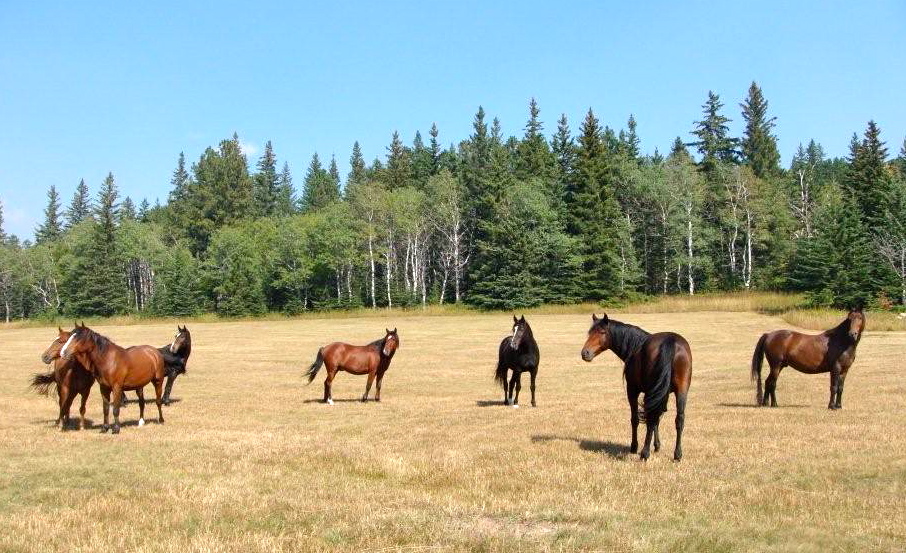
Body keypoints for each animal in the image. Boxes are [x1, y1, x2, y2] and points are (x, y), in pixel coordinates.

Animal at [581, 314, 692, 461]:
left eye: (602, 332)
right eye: (590, 333)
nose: (585, 353)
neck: (635, 347)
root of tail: (671, 341)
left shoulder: (633, 391)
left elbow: (635, 419)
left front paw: (634, 447)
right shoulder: (662, 394)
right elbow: (658, 419)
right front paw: (657, 446)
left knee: (650, 418)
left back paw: (644, 453)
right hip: (681, 391)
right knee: (678, 419)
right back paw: (677, 454)